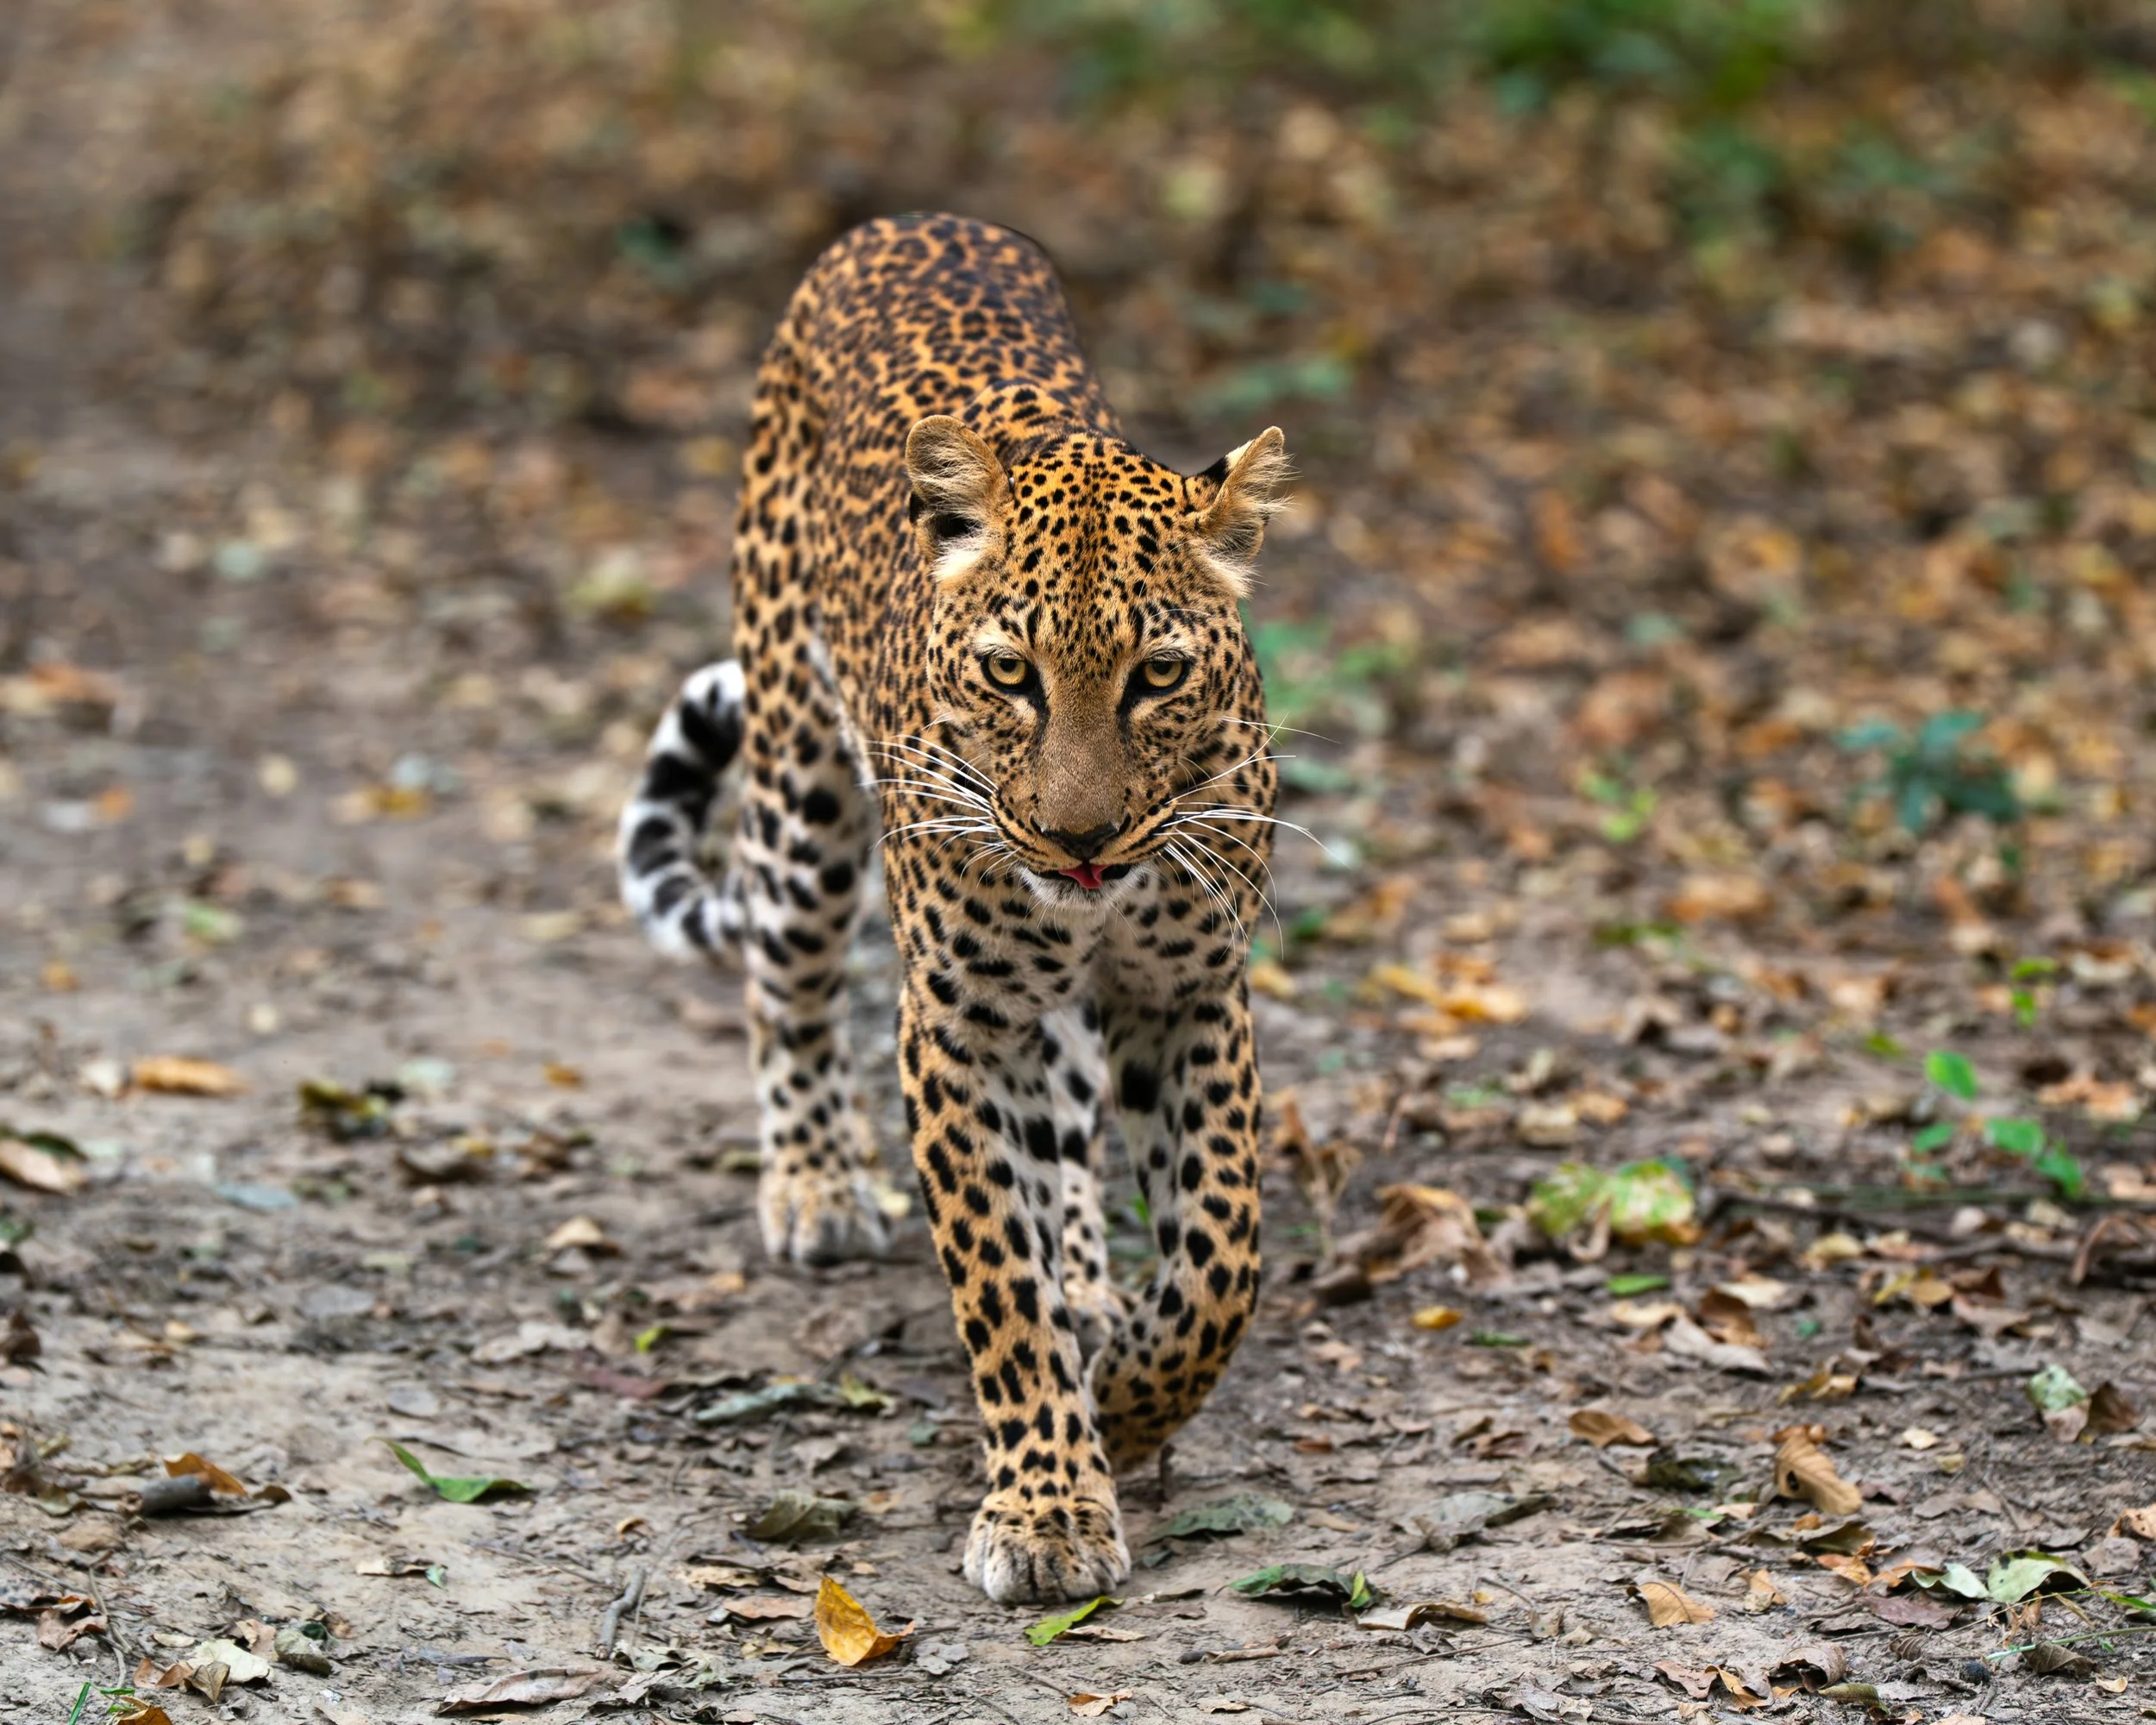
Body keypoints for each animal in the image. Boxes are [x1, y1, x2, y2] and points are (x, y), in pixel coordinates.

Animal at [617, 212, 1287, 1604]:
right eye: (1009, 673)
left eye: (1159, 675)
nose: (1078, 838)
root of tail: (910, 221)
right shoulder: (957, 1019)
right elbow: (996, 1280)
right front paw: (1047, 1505)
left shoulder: (1190, 994)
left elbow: (1220, 1254)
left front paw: (1128, 1393)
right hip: (801, 791)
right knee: (787, 987)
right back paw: (816, 1186)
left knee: (1068, 1119)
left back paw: (1090, 1284)